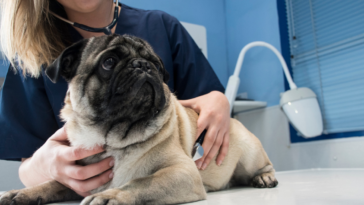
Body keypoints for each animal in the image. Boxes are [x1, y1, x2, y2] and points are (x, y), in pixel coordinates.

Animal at [0, 34, 278, 205]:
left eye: (156, 64)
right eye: (109, 62)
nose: (143, 65)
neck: (113, 138)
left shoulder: (182, 171)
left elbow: (140, 182)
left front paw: (110, 196)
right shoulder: (77, 181)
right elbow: (52, 182)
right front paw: (21, 194)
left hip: (250, 152)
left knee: (262, 165)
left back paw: (264, 178)